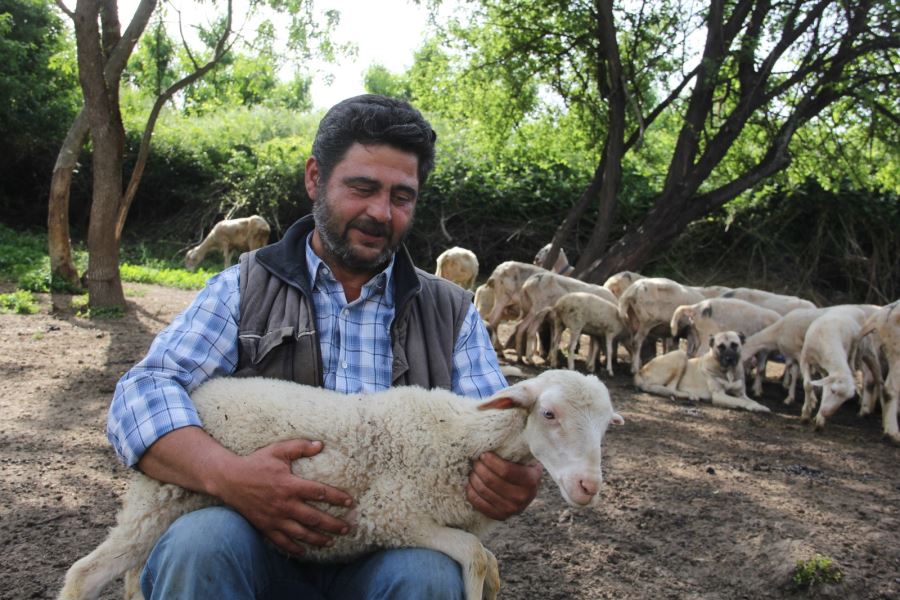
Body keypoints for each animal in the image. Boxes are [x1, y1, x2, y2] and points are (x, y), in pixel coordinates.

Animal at [54, 370, 620, 600]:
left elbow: (490, 564)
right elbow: (478, 559)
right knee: (85, 574)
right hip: (159, 497)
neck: (459, 437)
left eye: (606, 426)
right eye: (548, 413)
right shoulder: (391, 513)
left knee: (132, 573)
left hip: (170, 501)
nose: (588, 486)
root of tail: (196, 393)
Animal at [628, 328, 768, 412]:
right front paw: (755, 407)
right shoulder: (719, 395)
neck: (728, 372)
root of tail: (640, 371)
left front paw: (759, 405)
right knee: (669, 388)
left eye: (734, 345)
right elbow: (740, 401)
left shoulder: (741, 393)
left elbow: (748, 399)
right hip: (680, 355)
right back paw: (689, 395)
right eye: (721, 347)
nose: (729, 359)